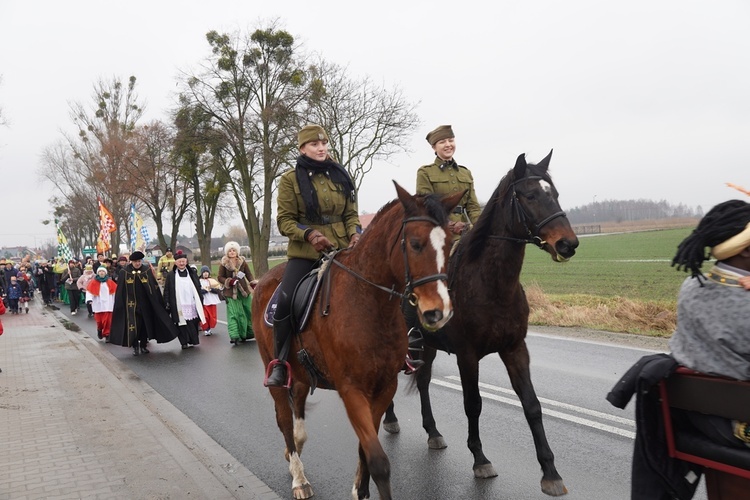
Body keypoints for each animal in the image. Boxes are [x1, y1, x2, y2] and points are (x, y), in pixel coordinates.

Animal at [253, 184, 464, 500]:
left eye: (449, 241)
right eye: (415, 244)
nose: (439, 311)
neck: (369, 303)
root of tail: (261, 281)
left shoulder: (384, 387)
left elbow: (366, 448)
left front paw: (360, 489)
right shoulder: (352, 390)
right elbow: (378, 461)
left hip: (300, 373)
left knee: (297, 410)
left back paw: (294, 453)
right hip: (276, 371)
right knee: (284, 419)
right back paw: (298, 477)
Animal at [388, 151, 580, 496]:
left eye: (555, 193)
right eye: (530, 195)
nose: (567, 244)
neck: (491, 284)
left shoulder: (515, 349)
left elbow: (532, 405)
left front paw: (550, 472)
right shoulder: (467, 356)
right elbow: (473, 404)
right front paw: (480, 459)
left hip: (428, 345)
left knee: (423, 382)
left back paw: (433, 432)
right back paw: (390, 420)